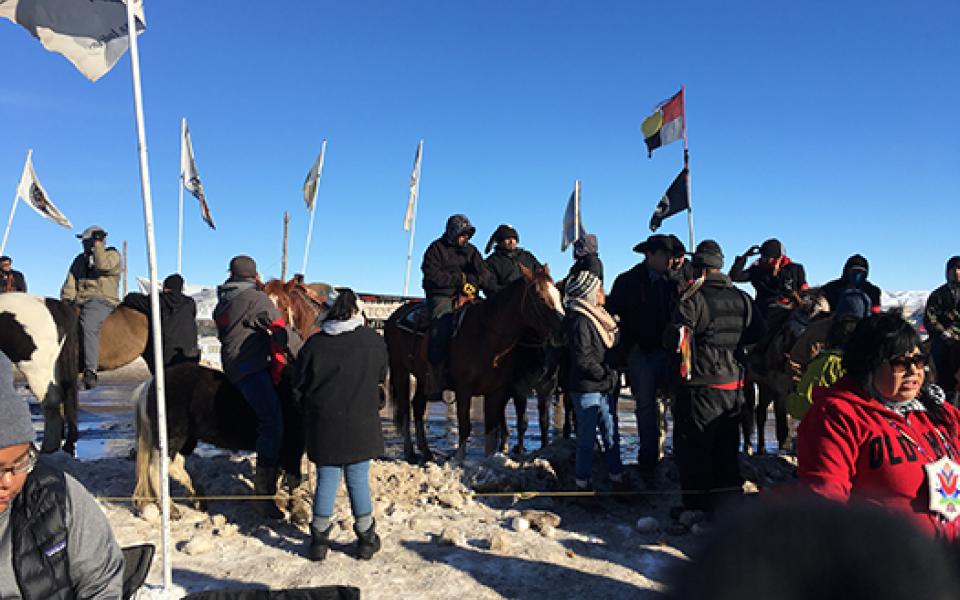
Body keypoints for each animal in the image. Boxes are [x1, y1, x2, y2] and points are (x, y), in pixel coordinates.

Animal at [382, 264, 564, 462]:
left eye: (559, 295)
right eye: (540, 297)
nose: (562, 331)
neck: (486, 337)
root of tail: (394, 316)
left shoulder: (496, 392)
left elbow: (491, 432)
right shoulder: (464, 390)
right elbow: (465, 426)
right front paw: (460, 460)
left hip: (423, 377)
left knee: (418, 407)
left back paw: (427, 451)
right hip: (400, 370)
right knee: (405, 410)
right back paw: (410, 452)